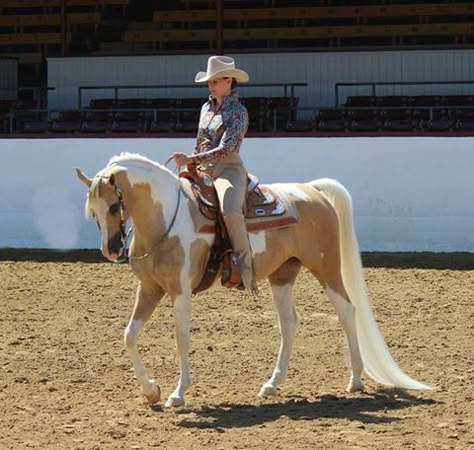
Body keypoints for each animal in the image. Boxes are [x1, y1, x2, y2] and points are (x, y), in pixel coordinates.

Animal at [76, 153, 432, 406]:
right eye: (93, 212)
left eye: (113, 206)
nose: (111, 249)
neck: (166, 220)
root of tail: (312, 189)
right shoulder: (150, 289)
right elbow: (129, 335)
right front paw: (151, 390)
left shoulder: (180, 291)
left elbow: (181, 339)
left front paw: (178, 394)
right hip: (283, 275)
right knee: (289, 323)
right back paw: (273, 384)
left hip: (327, 268)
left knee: (347, 312)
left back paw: (356, 380)